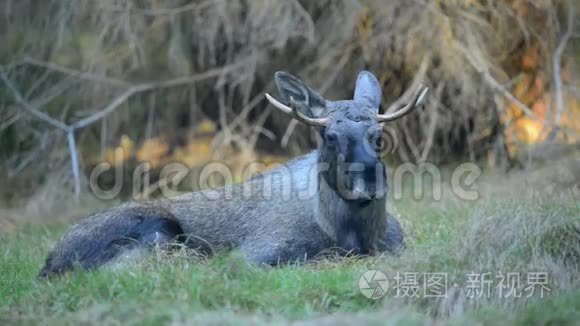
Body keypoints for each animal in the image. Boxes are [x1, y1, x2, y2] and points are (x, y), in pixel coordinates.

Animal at [37, 70, 426, 276]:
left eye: (379, 135)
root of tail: (48, 264)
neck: (351, 232)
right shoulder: (256, 255)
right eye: (329, 135)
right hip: (159, 232)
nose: (369, 184)